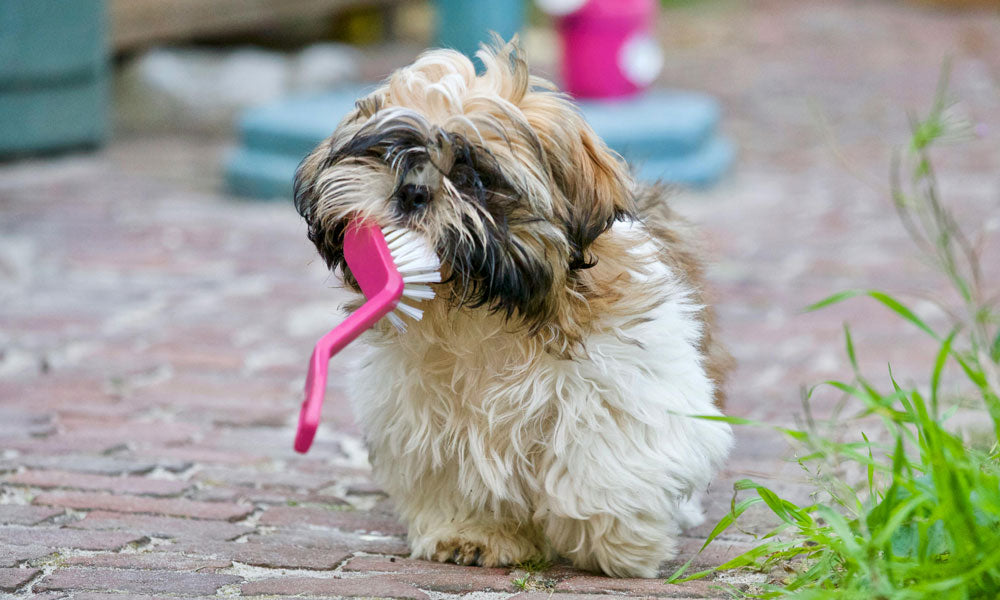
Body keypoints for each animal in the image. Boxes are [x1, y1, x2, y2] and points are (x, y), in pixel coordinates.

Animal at [292, 37, 732, 576]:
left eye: (473, 176)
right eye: (390, 153)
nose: (412, 191)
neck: (475, 307)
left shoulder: (626, 379)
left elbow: (604, 458)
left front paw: (615, 541)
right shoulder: (422, 411)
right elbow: (456, 471)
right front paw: (472, 532)